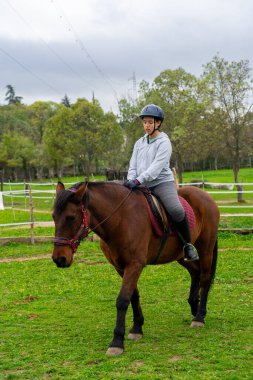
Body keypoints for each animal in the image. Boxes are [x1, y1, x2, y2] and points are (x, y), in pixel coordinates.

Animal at [52, 181, 219, 356]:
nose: (59, 259)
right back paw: (194, 306)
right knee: (195, 272)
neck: (121, 219)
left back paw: (199, 317)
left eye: (71, 217)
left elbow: (123, 299)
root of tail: (205, 195)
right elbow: (133, 296)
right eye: (54, 217)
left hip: (206, 249)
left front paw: (117, 342)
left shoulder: (134, 265)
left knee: (205, 278)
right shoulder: (121, 267)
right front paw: (137, 328)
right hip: (179, 255)